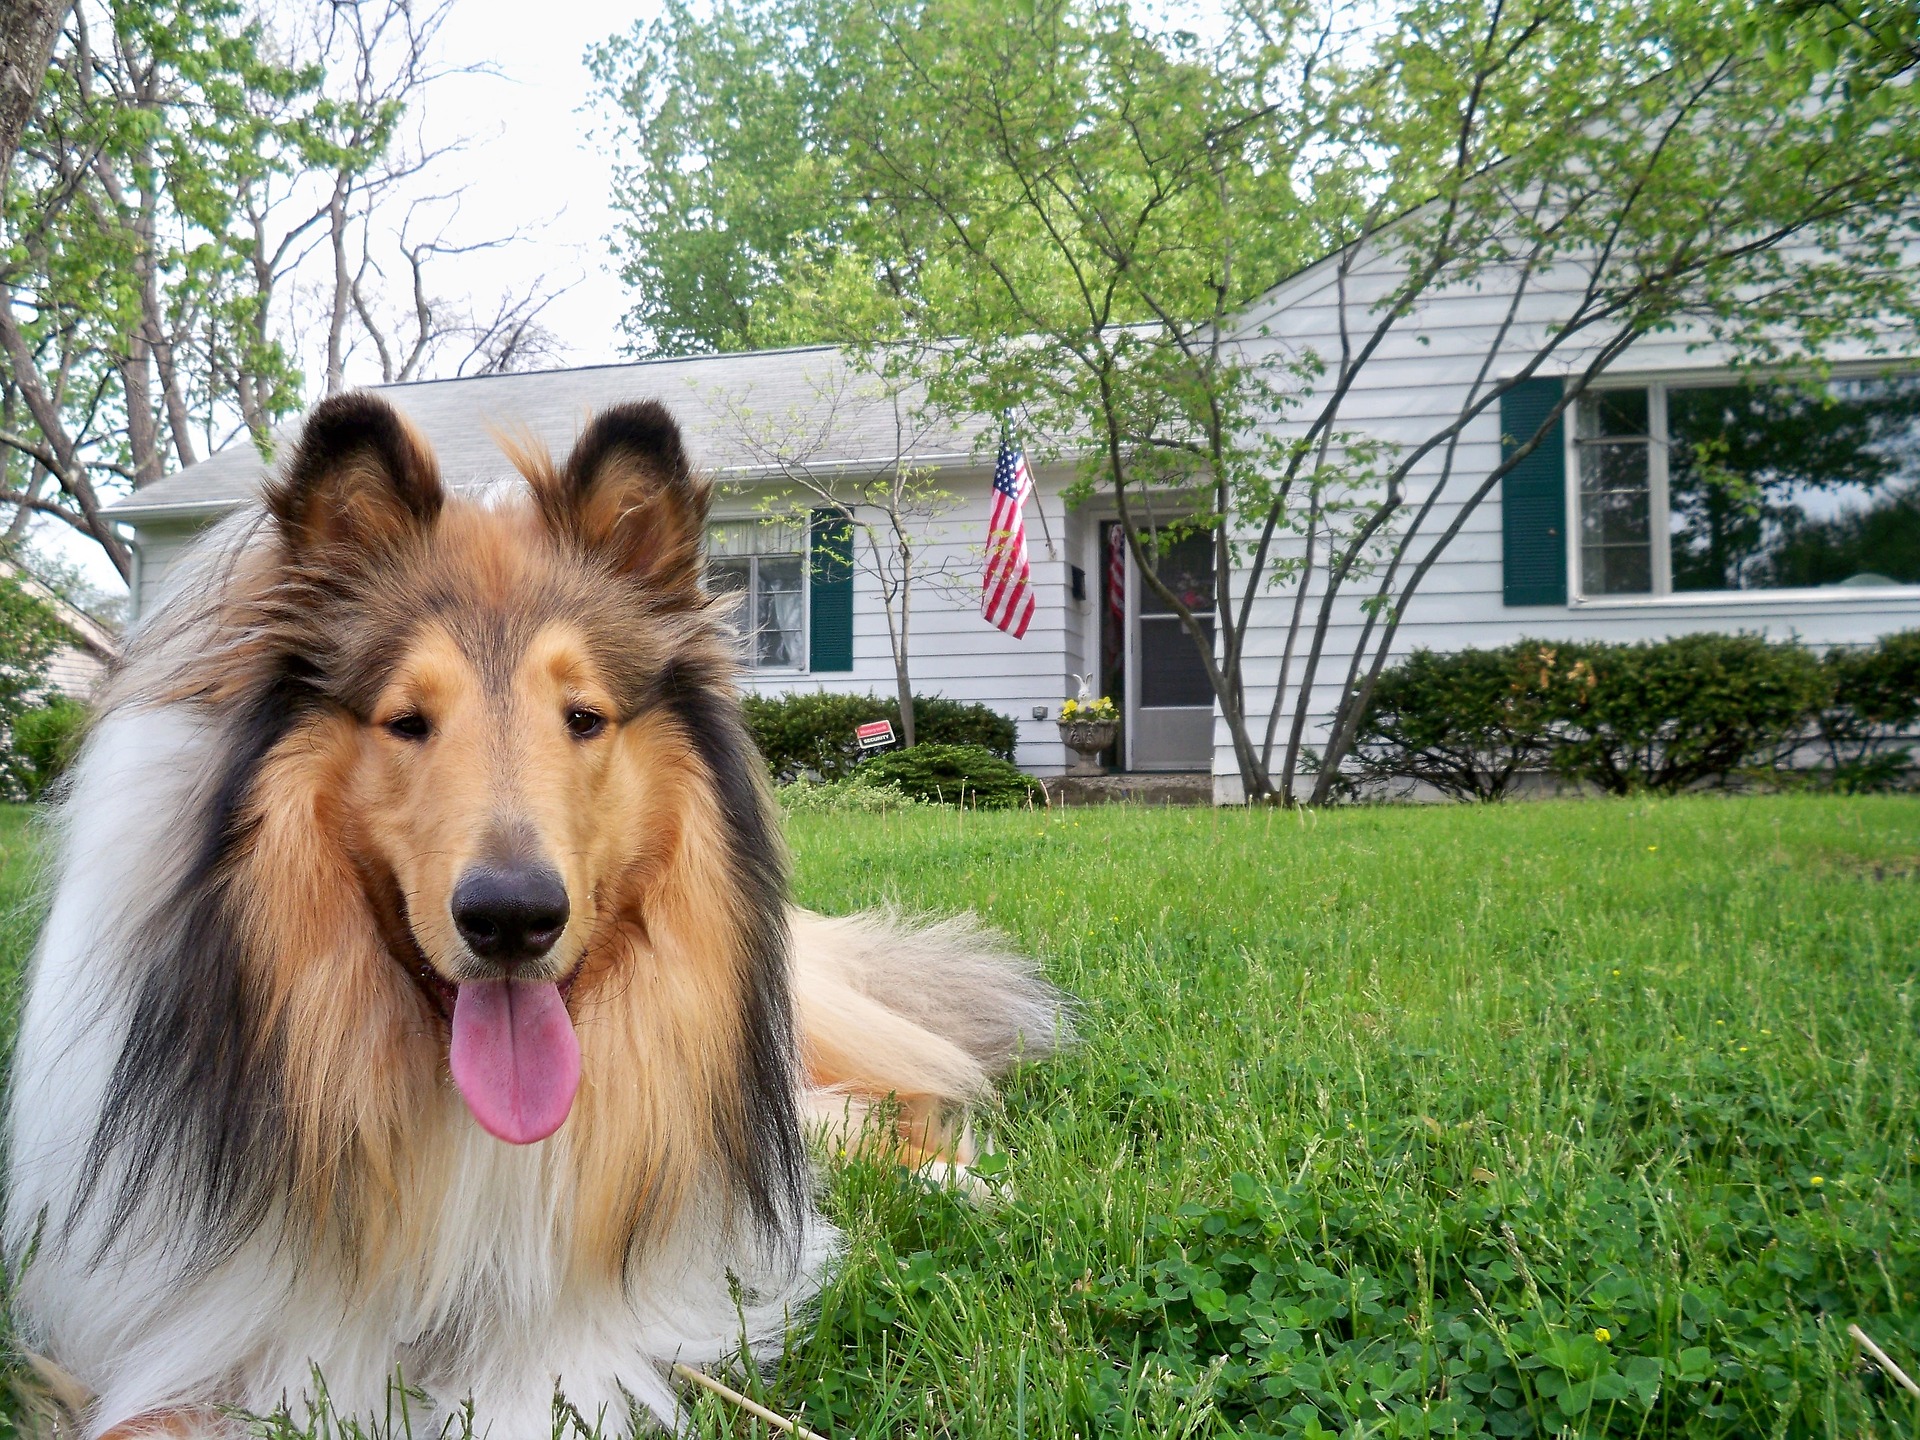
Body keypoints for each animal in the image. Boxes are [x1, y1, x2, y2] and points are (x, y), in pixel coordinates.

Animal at [3, 395, 1067, 1440]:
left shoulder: (598, 1325)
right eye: (407, 721)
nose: (513, 919)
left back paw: (983, 1190)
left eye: (584, 717)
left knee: (871, 1116)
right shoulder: (200, 1330)